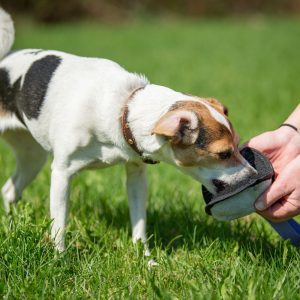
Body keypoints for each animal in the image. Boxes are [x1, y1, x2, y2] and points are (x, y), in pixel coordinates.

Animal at [0, 8, 255, 252]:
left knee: (10, 190)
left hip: (32, 157)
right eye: (223, 154)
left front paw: (144, 256)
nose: (255, 175)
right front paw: (60, 256)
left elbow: (139, 221)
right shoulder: (62, 173)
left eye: (238, 146)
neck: (122, 108)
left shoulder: (136, 174)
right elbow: (59, 225)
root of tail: (5, 59)